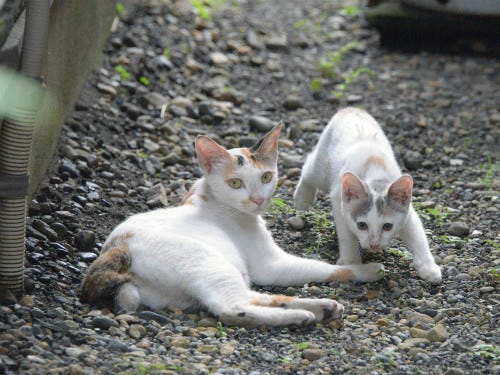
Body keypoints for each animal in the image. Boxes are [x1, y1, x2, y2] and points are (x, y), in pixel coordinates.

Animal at [81, 125, 382, 328]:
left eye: (266, 177)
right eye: (235, 183)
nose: (258, 199)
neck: (212, 199)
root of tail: (114, 250)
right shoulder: (272, 264)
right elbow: (326, 268)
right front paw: (367, 269)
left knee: (254, 297)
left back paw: (320, 308)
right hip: (210, 263)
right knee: (232, 307)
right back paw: (302, 315)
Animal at [294, 107, 444, 284]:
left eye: (387, 226)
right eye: (362, 225)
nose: (374, 245)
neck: (375, 173)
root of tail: (351, 109)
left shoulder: (408, 212)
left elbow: (417, 235)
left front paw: (429, 267)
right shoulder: (339, 200)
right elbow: (346, 234)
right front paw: (352, 263)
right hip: (322, 169)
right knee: (309, 169)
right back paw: (302, 200)